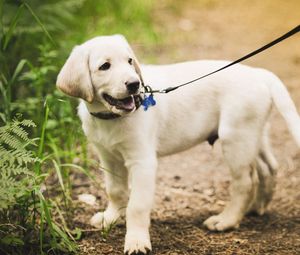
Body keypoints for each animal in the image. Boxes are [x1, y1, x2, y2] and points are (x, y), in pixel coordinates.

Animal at [56, 35, 300, 255]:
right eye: (104, 66)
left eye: (129, 61)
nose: (135, 84)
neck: (110, 118)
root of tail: (258, 73)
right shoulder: (108, 156)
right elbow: (115, 190)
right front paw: (111, 218)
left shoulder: (142, 161)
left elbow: (137, 205)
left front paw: (136, 241)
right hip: (253, 134)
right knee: (269, 167)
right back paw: (257, 207)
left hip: (236, 137)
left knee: (245, 182)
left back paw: (226, 220)